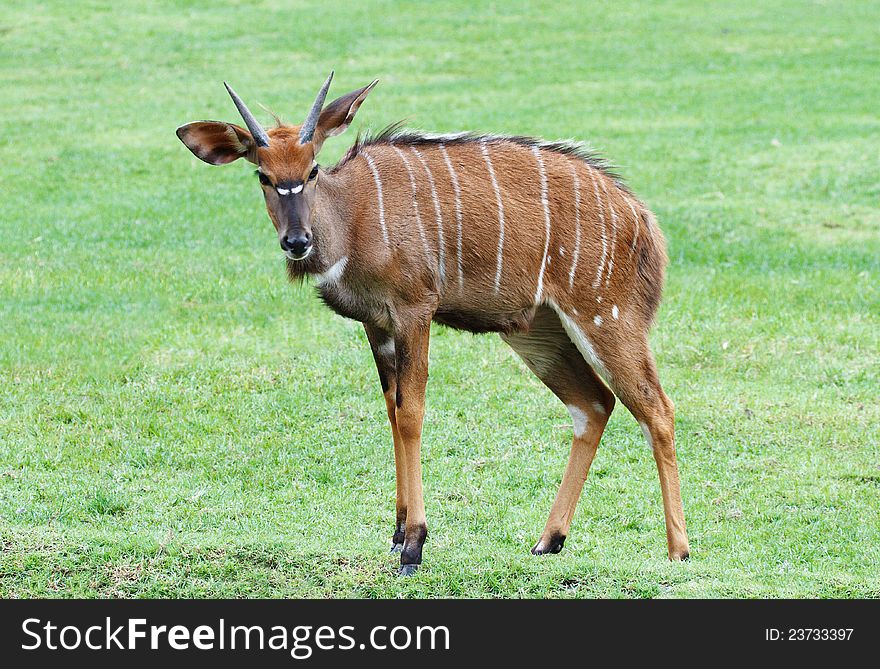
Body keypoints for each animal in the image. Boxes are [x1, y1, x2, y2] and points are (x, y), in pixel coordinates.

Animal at [177, 73, 688, 576]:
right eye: (263, 175)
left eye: (312, 170)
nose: (297, 240)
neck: (353, 217)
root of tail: (644, 221)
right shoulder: (377, 324)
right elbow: (391, 407)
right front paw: (396, 533)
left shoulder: (414, 309)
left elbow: (412, 412)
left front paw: (414, 547)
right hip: (538, 331)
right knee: (594, 405)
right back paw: (548, 541)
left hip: (605, 317)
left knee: (656, 409)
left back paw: (678, 550)